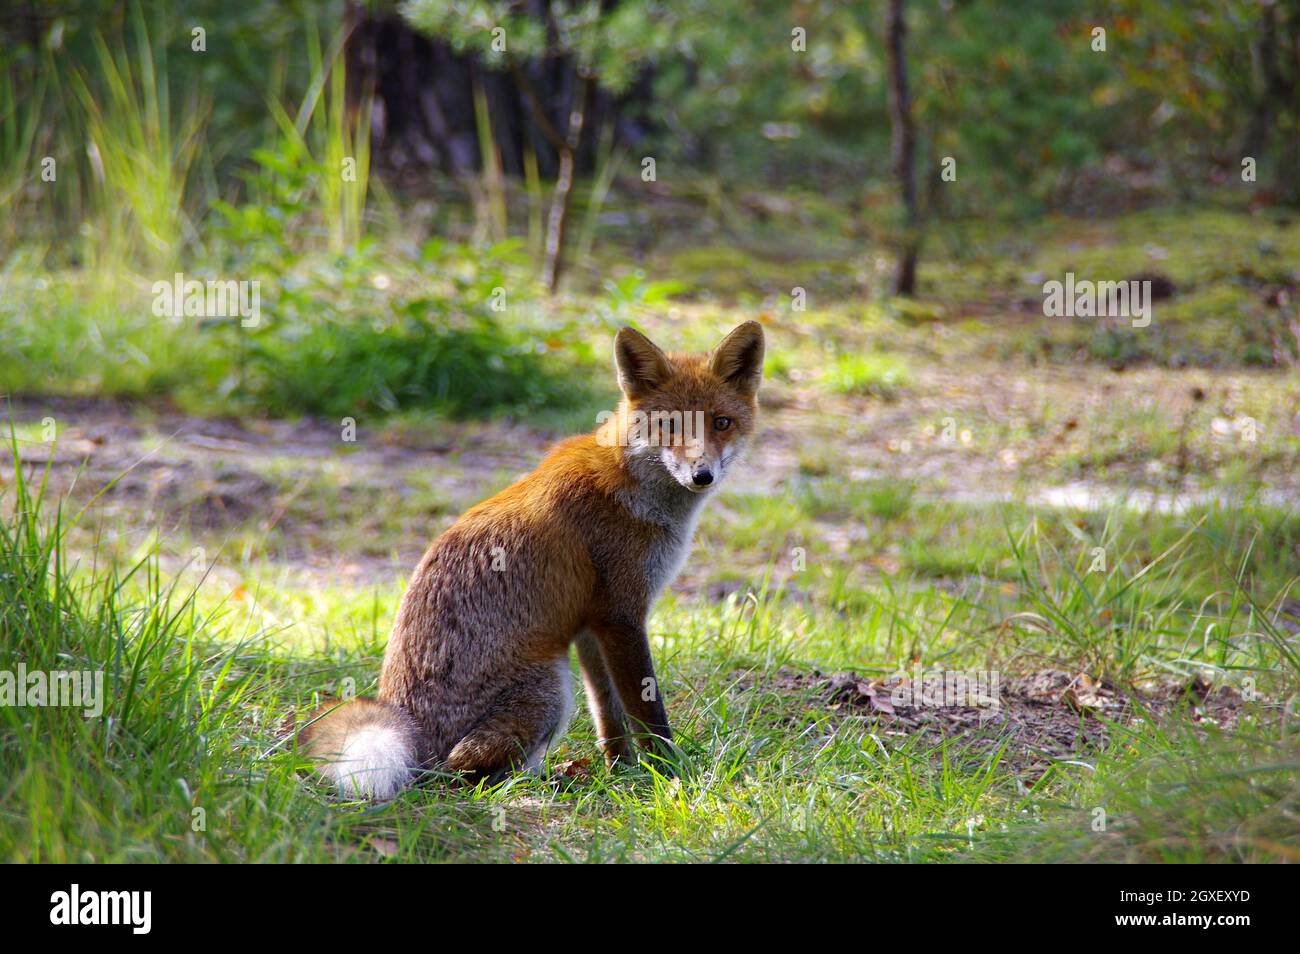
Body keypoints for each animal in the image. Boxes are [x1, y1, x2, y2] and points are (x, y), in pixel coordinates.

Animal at [300, 320, 766, 798]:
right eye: (670, 424)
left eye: (722, 423)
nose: (702, 475)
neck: (634, 489)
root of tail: (412, 737)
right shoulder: (622, 615)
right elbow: (647, 712)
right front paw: (669, 773)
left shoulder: (592, 624)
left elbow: (609, 715)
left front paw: (621, 772)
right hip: (552, 690)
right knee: (459, 772)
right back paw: (539, 782)